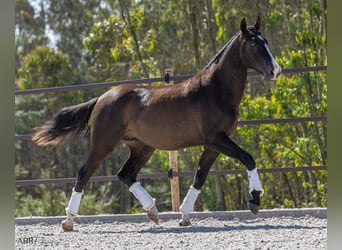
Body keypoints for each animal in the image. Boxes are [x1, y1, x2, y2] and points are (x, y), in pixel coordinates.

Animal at [31, 16, 280, 230]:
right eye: (253, 44)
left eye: (266, 42)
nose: (275, 70)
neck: (214, 90)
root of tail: (102, 98)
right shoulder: (216, 139)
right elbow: (248, 158)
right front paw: (254, 200)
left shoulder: (213, 145)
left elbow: (200, 177)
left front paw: (185, 216)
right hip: (103, 144)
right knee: (84, 173)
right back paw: (68, 221)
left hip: (142, 147)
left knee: (126, 174)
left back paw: (153, 212)